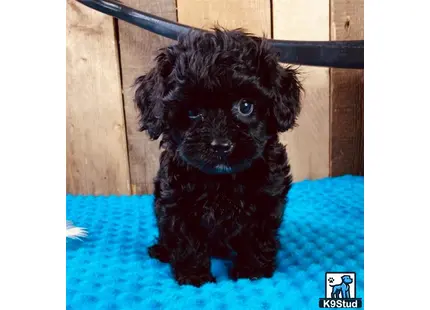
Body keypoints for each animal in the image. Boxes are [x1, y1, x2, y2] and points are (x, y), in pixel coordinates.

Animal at [134, 27, 302, 286]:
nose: (221, 146)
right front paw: (195, 276)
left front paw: (252, 271)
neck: (222, 181)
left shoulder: (266, 198)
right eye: (193, 112)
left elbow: (257, 236)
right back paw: (161, 250)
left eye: (245, 106)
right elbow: (186, 240)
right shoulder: (176, 202)